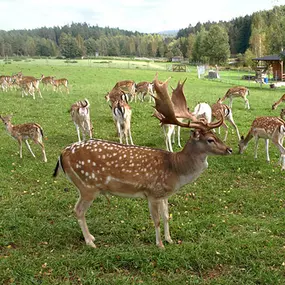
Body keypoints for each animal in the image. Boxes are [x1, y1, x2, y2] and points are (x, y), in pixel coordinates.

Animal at [52, 74, 232, 247]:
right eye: (210, 139)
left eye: (215, 135)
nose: (229, 149)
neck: (175, 169)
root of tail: (62, 154)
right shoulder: (152, 192)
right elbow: (156, 220)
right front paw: (160, 245)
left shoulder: (164, 194)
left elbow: (166, 216)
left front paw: (169, 239)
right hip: (87, 186)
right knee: (78, 210)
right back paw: (90, 242)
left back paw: (91, 237)